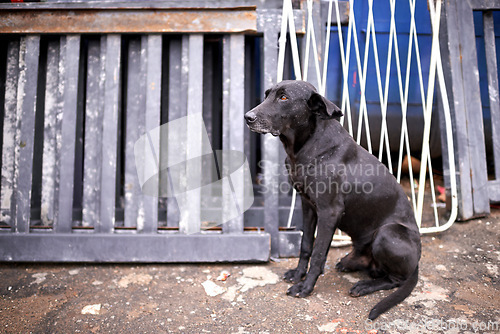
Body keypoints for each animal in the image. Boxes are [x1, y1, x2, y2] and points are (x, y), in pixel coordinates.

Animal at [244, 79, 420, 320]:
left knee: (396, 280)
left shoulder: (329, 212)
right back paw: (351, 263)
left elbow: (318, 253)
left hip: (388, 234)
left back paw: (365, 286)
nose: (248, 117)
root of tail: (417, 262)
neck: (306, 145)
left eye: (284, 97)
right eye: (266, 94)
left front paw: (305, 287)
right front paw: (298, 274)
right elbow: (306, 245)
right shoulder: (307, 206)